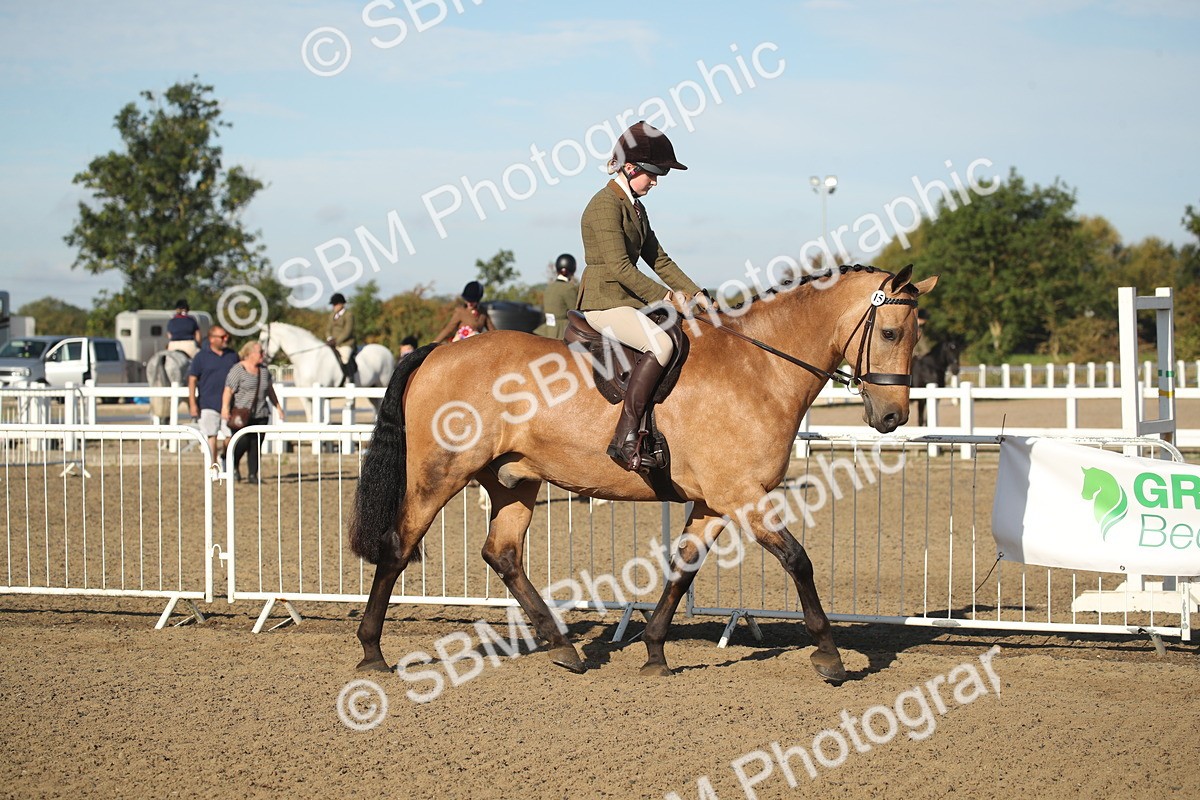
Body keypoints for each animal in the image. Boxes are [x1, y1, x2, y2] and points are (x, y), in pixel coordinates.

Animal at [258, 322, 395, 420]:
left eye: (263, 340)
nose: (263, 360)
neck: (307, 358)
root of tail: (387, 351)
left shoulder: (321, 395)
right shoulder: (305, 397)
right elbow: (310, 418)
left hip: (381, 385)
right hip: (371, 389)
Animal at [349, 264, 936, 682]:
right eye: (889, 333)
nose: (892, 417)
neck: (759, 368)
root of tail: (436, 354)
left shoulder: (715, 502)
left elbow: (682, 569)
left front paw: (654, 650)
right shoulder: (742, 495)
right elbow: (798, 560)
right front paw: (830, 656)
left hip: (514, 479)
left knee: (503, 553)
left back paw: (564, 647)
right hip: (440, 473)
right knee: (399, 547)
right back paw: (372, 650)